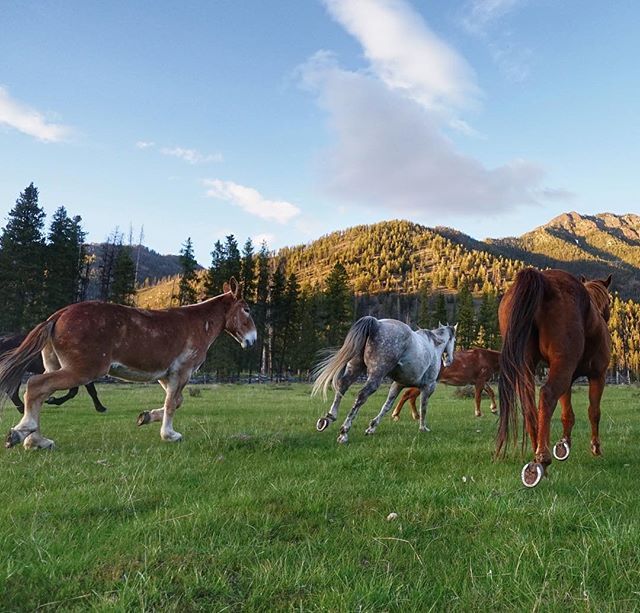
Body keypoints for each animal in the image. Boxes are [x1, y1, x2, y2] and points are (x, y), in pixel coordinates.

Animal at [0, 278, 255, 450]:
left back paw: (35, 439)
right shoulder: (182, 372)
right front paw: (169, 435)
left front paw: (147, 417)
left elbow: (176, 401)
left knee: (40, 394)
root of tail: (58, 315)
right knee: (35, 386)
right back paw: (26, 436)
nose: (252, 340)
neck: (197, 323)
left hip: (56, 366)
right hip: (83, 370)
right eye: (247, 309)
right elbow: (172, 404)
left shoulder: (166, 375)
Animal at [312, 318, 456, 442]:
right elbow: (423, 407)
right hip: (376, 375)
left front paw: (372, 427)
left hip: (354, 368)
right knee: (361, 396)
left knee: (342, 386)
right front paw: (423, 428)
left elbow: (387, 406)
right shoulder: (428, 387)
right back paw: (344, 432)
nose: (449, 361)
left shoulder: (398, 384)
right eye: (454, 340)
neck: (433, 345)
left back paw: (329, 418)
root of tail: (376, 324)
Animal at [496, 268, 608, 488]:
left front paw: (564, 445)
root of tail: (544, 282)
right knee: (546, 396)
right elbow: (594, 412)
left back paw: (537, 453)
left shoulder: (569, 380)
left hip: (526, 367)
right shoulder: (597, 376)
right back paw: (542, 460)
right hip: (561, 366)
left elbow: (567, 414)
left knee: (529, 405)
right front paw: (595, 448)